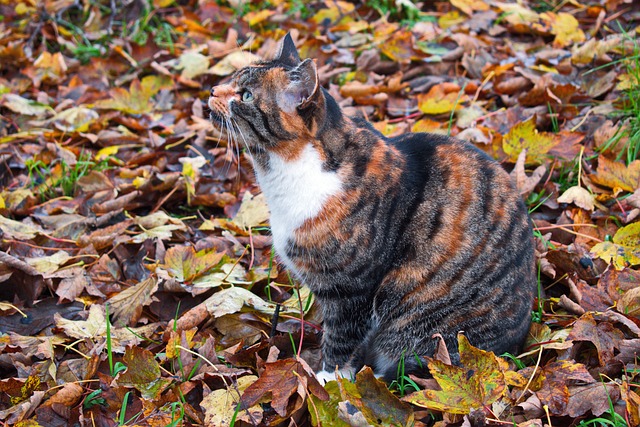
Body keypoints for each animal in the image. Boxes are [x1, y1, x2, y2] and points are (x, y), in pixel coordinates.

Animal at [208, 32, 536, 382]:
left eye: (245, 95)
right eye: (234, 79)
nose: (212, 90)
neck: (284, 173)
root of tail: (512, 348)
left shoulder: (351, 291)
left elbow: (341, 338)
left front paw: (328, 380)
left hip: (420, 319)